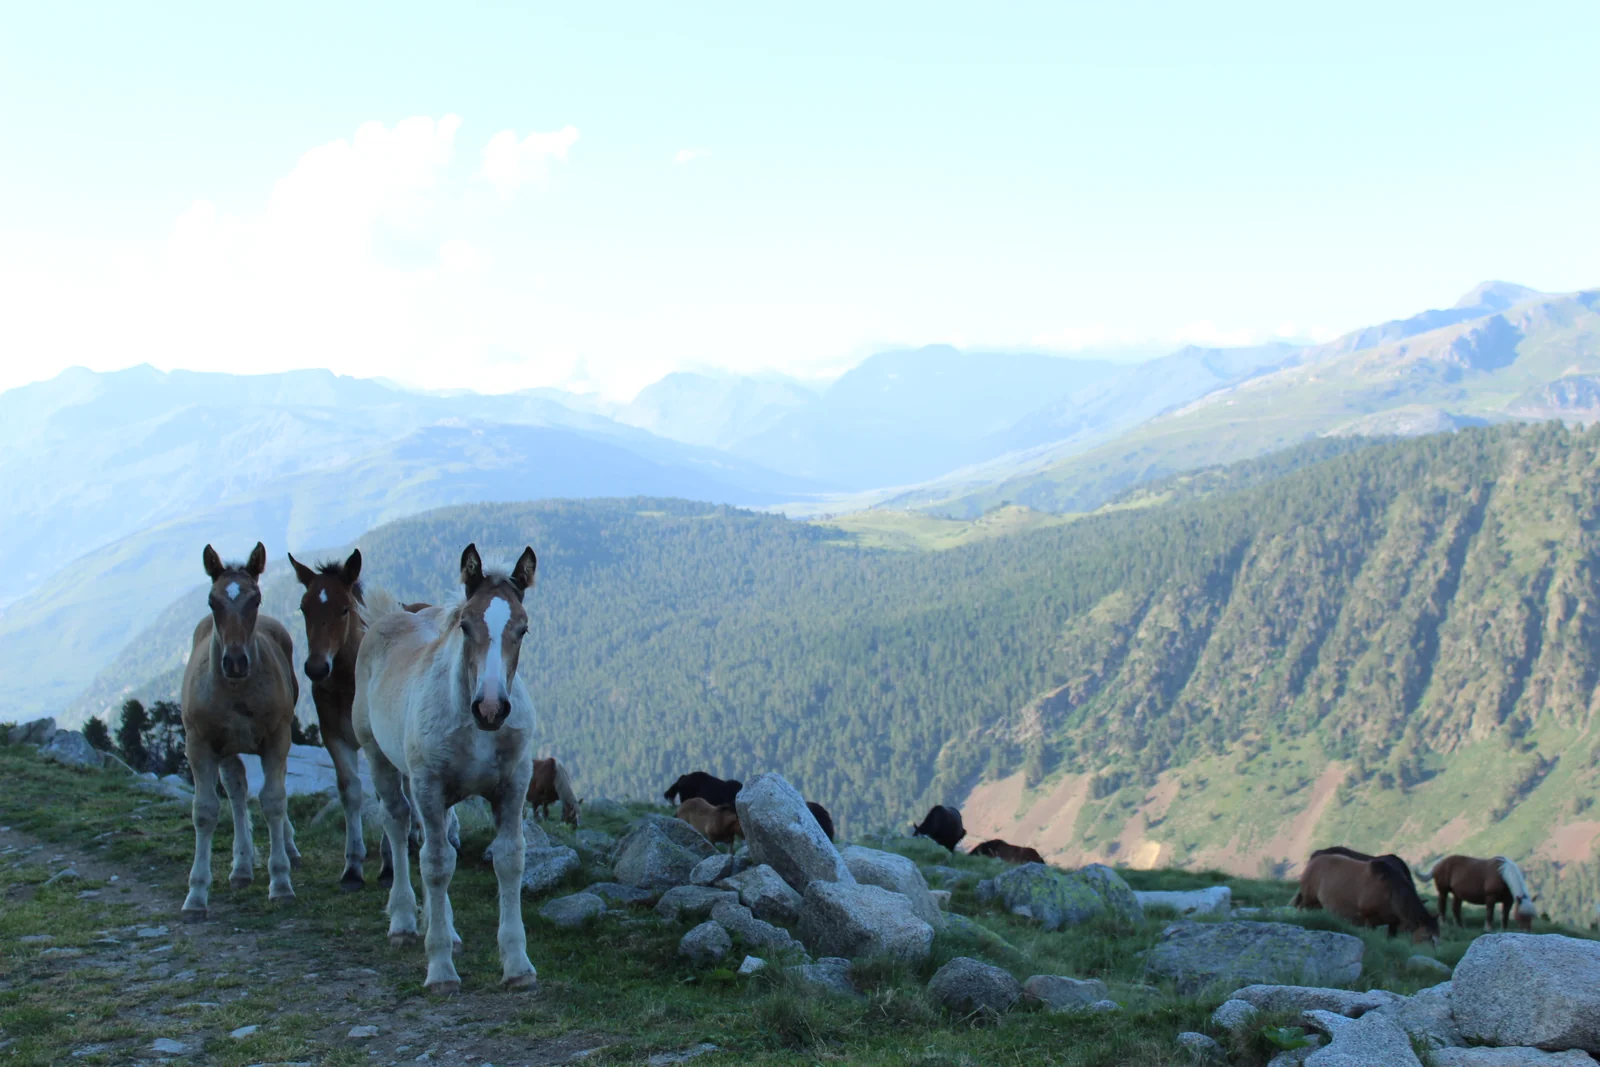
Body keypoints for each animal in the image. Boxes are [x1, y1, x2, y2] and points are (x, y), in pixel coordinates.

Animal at [179, 542, 301, 920]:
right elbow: (205, 811)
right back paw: (241, 867)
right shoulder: (199, 743)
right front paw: (196, 895)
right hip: (227, 747)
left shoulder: (277, 738)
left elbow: (274, 800)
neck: (236, 690)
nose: (234, 662)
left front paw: (281, 883)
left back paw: (288, 849)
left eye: (256, 599)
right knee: (236, 790)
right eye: (212, 601)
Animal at [289, 549, 459, 891]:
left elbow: (384, 797)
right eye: (304, 608)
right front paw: (353, 867)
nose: (316, 668)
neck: (346, 681)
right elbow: (350, 791)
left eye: (345, 609)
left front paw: (389, 865)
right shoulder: (333, 736)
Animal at [353, 543, 540, 994]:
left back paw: (449, 931)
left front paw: (518, 965)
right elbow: (436, 864)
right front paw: (439, 969)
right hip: (380, 758)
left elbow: (509, 859)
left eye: (523, 629)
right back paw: (404, 920)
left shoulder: (513, 785)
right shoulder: (430, 785)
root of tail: (388, 615)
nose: (490, 708)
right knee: (399, 824)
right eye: (465, 626)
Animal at [1293, 851, 1440, 944]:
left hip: (1317, 904)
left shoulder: (1393, 923)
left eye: (1438, 936)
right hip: (1308, 899)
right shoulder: (1369, 919)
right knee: (1301, 907)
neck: (1390, 893)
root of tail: (1312, 862)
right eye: (1426, 936)